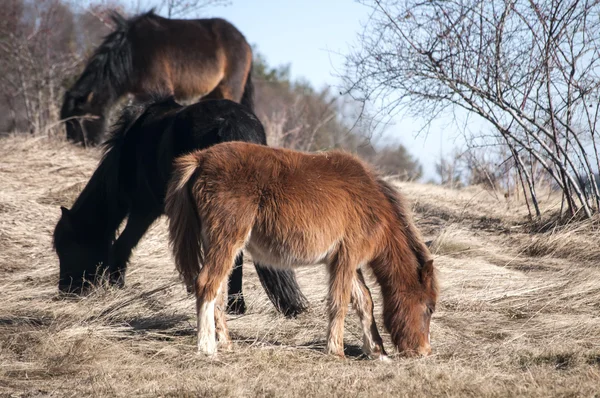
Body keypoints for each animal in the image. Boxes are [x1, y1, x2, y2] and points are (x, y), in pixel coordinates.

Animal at [52, 97, 310, 318]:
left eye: (67, 246)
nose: (66, 290)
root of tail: (230, 123)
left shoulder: (143, 210)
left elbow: (123, 245)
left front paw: (116, 285)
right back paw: (236, 305)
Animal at [62, 11, 254, 148]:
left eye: (79, 119)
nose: (78, 145)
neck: (130, 53)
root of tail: (244, 40)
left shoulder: (158, 90)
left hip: (228, 89)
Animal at [166, 142, 438, 358]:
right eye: (428, 308)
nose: (424, 351)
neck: (372, 204)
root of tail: (201, 158)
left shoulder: (343, 261)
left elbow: (365, 302)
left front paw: (377, 351)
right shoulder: (347, 258)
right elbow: (340, 302)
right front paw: (336, 351)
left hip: (221, 246)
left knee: (219, 293)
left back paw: (225, 344)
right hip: (226, 241)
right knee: (206, 284)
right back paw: (207, 348)